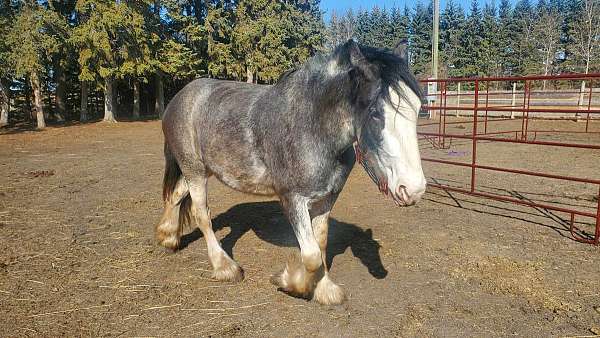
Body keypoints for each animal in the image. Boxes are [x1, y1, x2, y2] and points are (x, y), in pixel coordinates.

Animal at [157, 39, 424, 304]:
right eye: (376, 113)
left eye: (418, 107)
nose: (414, 189)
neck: (312, 128)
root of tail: (179, 98)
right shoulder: (292, 199)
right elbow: (311, 255)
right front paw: (291, 283)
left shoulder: (326, 199)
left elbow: (321, 242)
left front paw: (324, 289)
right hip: (194, 170)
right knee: (201, 214)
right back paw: (225, 267)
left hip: (202, 169)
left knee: (176, 195)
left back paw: (168, 237)